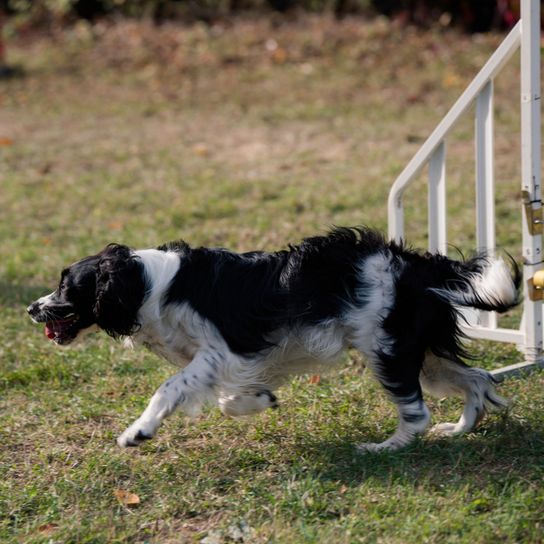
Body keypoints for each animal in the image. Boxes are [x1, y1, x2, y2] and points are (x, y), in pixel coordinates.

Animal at [26, 226, 520, 450]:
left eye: (67, 285)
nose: (32, 308)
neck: (149, 284)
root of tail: (416, 263)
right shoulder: (233, 361)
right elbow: (229, 397)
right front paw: (260, 401)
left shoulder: (224, 351)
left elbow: (170, 388)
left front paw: (138, 431)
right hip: (424, 354)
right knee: (478, 379)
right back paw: (458, 429)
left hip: (386, 351)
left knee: (416, 414)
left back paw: (383, 448)